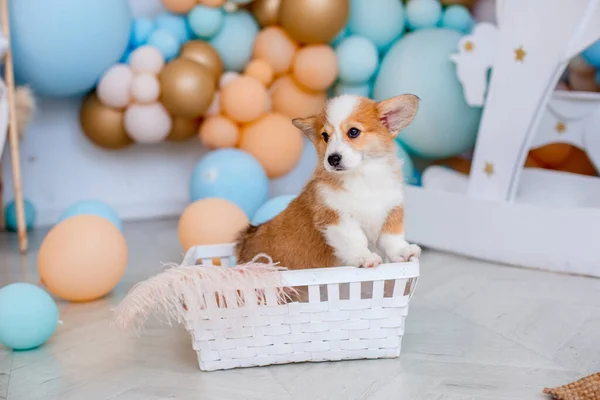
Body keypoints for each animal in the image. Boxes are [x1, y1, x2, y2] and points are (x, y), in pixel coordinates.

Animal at [236, 92, 422, 270]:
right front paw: (365, 257)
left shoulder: (391, 210)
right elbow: (355, 240)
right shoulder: (337, 217)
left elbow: (392, 238)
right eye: (325, 136)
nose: (332, 159)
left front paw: (403, 251)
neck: (360, 176)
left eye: (353, 132)